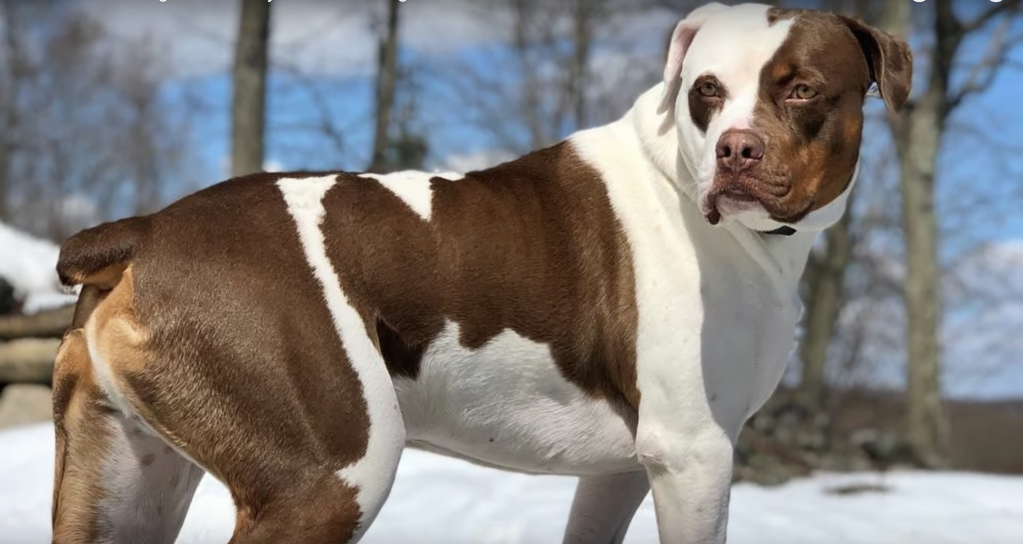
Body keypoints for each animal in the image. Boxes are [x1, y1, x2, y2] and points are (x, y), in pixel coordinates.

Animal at [49, 4, 912, 544]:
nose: (736, 150)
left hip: (124, 484)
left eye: (801, 90)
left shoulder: (623, 472)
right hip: (324, 480)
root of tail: (146, 229)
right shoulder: (694, 454)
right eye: (706, 90)